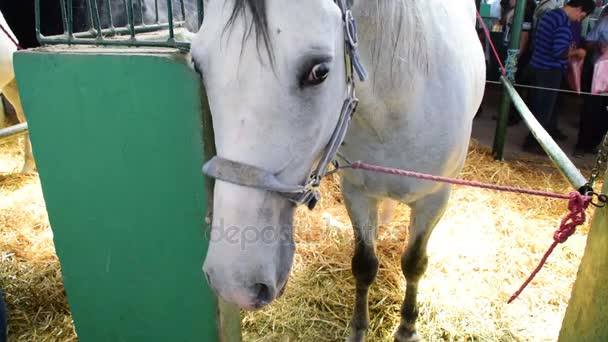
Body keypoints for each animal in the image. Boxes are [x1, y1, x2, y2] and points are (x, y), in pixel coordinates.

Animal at [190, 1, 484, 340]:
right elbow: (364, 264)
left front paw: (407, 327)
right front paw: (358, 328)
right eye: (197, 65)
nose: (233, 282)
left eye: (319, 71)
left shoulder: (434, 199)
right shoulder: (357, 192)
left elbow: (414, 263)